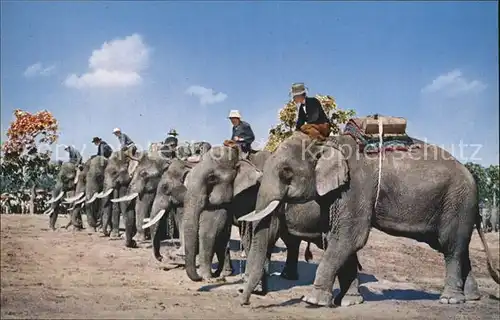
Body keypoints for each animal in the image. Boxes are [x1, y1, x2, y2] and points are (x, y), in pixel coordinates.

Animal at [239, 131, 500, 306]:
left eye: (286, 172)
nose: (245, 301)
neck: (328, 142)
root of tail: (472, 177)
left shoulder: (356, 187)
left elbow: (349, 237)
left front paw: (313, 300)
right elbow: (341, 240)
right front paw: (348, 302)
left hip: (458, 201)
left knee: (451, 246)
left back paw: (450, 300)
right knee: (456, 247)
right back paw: (471, 298)